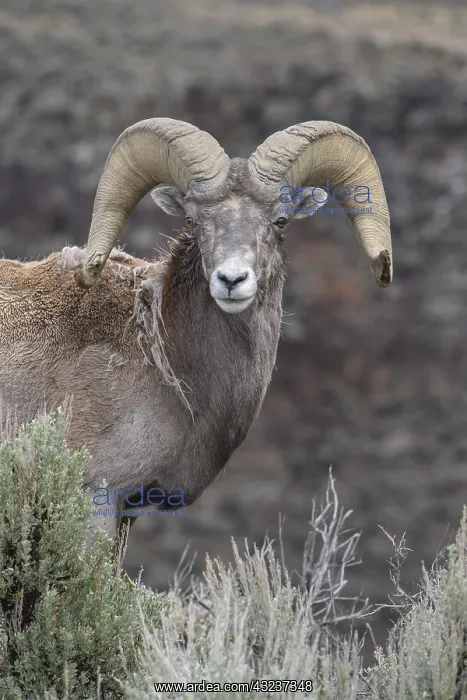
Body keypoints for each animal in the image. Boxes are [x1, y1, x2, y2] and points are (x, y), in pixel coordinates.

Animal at [0, 118, 392, 540]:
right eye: (192, 220)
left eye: (280, 221)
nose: (232, 280)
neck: (165, 357)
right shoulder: (97, 497)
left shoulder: (128, 512)